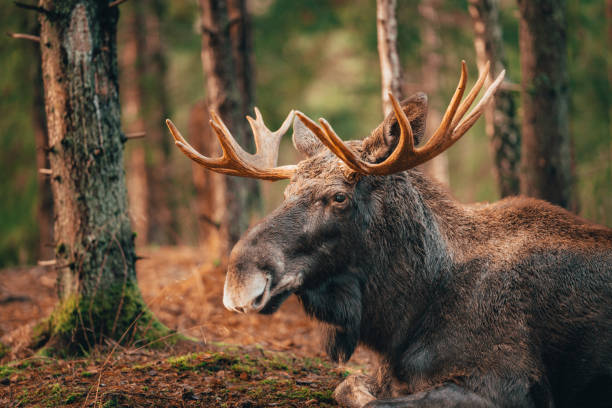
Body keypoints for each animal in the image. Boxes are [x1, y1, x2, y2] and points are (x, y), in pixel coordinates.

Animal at [166, 61, 612, 408]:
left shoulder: (507, 383)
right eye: (287, 193)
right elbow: (349, 388)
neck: (403, 316)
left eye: (339, 197)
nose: (240, 278)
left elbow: (376, 401)